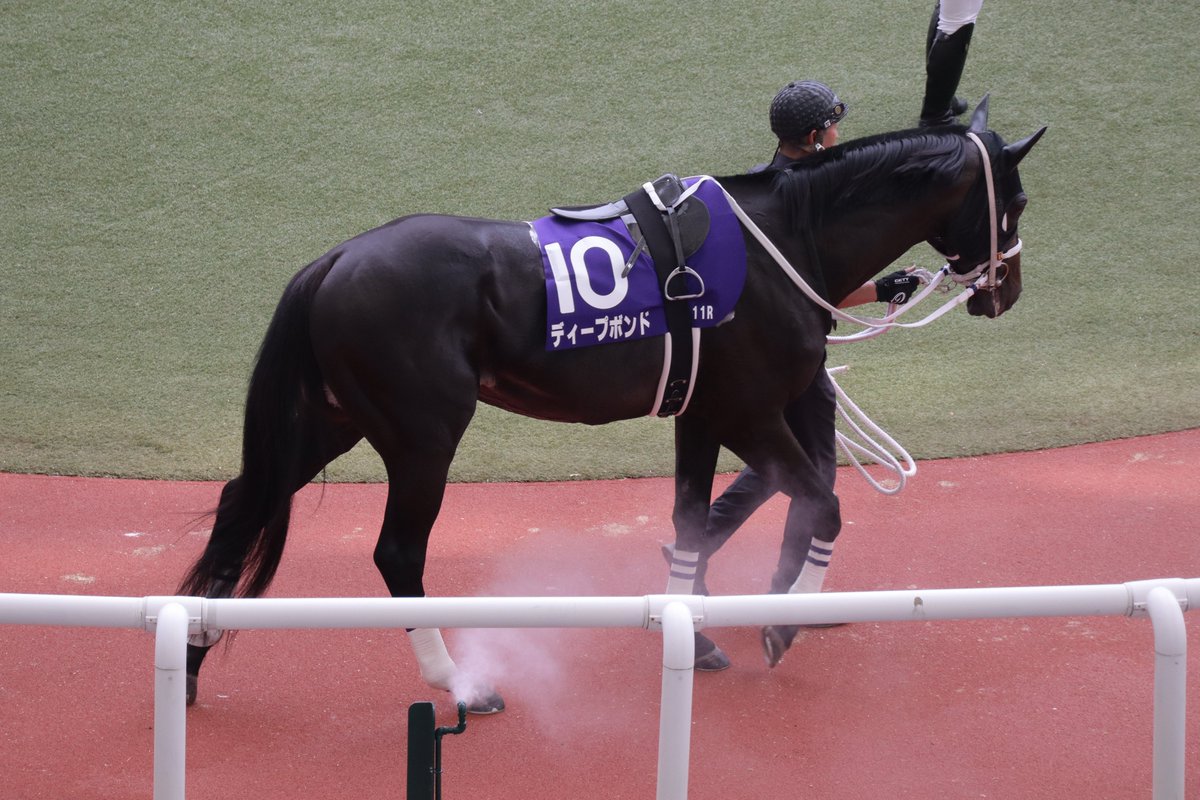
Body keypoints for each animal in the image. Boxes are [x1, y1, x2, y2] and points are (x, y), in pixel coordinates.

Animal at [177, 98, 1046, 713]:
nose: (1006, 290)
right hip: (422, 438)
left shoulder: (700, 414)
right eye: (1019, 201)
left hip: (334, 419)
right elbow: (823, 504)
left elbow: (694, 520)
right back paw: (457, 683)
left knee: (243, 501)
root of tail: (333, 259)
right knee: (396, 552)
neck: (784, 242)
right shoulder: (751, 413)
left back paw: (187, 655)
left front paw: (696, 636)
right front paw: (781, 622)